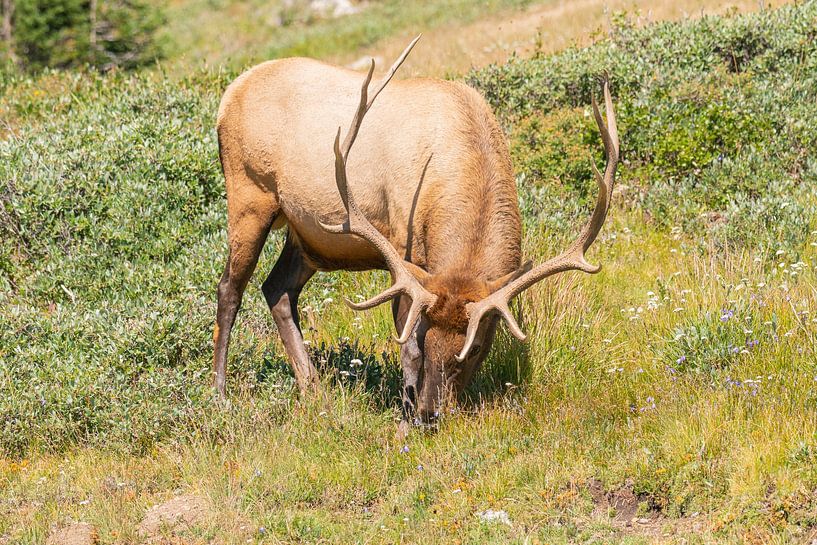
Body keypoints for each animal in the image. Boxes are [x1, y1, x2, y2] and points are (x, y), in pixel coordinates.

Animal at [213, 36, 619, 428]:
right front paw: (404, 414)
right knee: (229, 289)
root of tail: (228, 94)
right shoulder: (402, 252)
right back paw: (220, 392)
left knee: (277, 289)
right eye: (428, 340)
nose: (430, 413)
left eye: (474, 348)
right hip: (249, 196)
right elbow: (403, 341)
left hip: (307, 237)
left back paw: (313, 389)